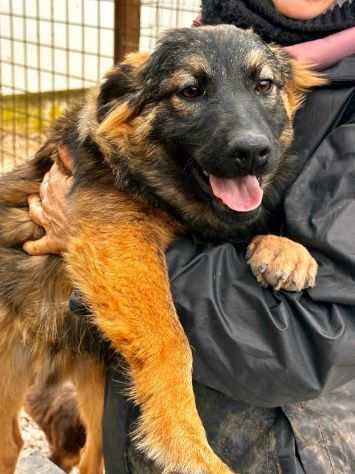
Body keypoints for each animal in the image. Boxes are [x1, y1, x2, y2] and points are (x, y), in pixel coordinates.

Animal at [0, 25, 324, 474]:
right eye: (190, 91)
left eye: (264, 85)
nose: (253, 152)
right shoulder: (120, 237)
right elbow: (171, 340)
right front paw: (187, 444)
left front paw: (287, 250)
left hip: (93, 386)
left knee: (79, 452)